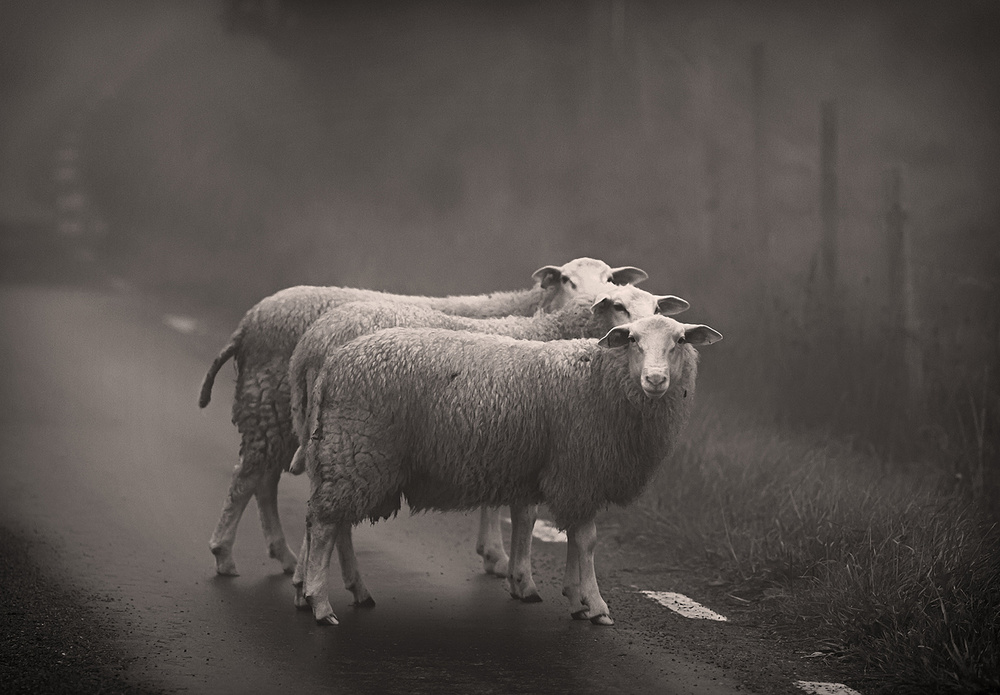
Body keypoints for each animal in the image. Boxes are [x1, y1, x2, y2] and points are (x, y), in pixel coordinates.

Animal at [197, 258, 648, 580]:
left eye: (610, 278)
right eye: (567, 280)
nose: (593, 300)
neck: (527, 318)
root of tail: (252, 319)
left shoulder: (500, 424)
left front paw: (494, 555)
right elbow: (519, 506)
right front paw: (504, 561)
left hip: (292, 421)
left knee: (264, 480)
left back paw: (285, 557)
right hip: (278, 409)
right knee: (248, 478)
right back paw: (227, 555)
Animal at [296, 312, 720, 628]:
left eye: (680, 340)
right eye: (632, 339)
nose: (655, 379)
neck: (598, 378)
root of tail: (334, 361)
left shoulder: (570, 474)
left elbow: (570, 536)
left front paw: (575, 599)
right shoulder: (578, 470)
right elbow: (586, 540)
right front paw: (596, 605)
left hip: (350, 452)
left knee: (335, 524)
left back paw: (357, 591)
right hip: (360, 446)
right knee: (324, 523)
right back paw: (320, 603)